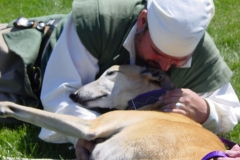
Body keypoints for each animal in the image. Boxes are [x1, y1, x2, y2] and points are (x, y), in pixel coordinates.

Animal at [0, 65, 225, 159]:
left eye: (111, 72)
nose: (74, 95)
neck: (149, 103)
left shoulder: (92, 126)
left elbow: (30, 112)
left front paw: (4, 106)